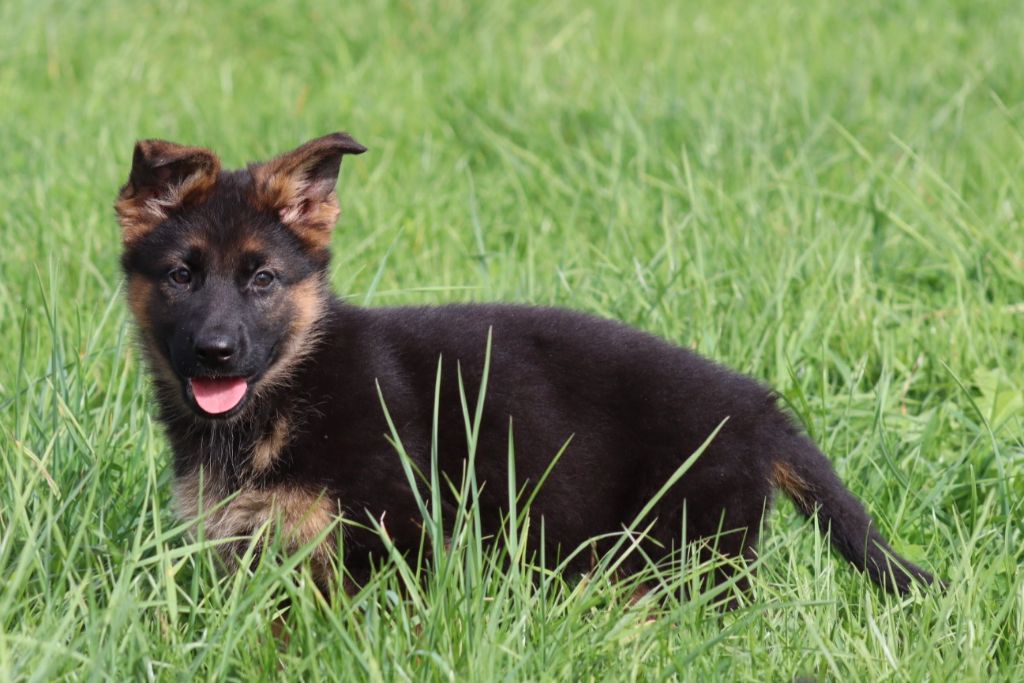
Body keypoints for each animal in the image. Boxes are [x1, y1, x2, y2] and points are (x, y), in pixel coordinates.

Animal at [116, 132, 937, 598]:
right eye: (182, 276)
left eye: (262, 279)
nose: (216, 353)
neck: (294, 387)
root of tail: (759, 407)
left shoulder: (397, 541)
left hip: (680, 553)